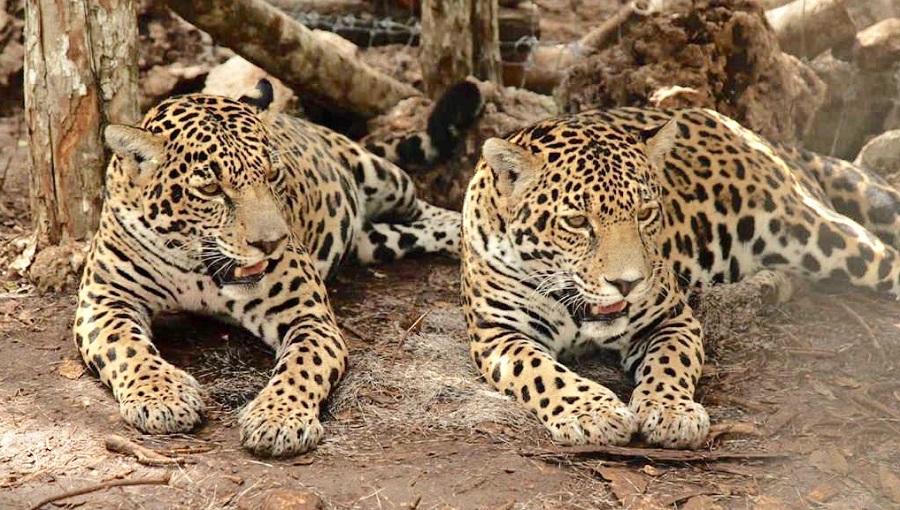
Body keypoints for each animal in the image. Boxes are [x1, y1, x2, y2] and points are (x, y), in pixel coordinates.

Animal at [74, 79, 481, 457]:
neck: (196, 269)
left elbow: (302, 364)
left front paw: (278, 418)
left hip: (386, 180)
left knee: (427, 209)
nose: (271, 243)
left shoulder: (307, 316)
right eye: (210, 189)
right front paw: (161, 396)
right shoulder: (105, 300)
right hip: (376, 242)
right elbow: (126, 347)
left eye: (272, 175)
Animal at [461, 107, 900, 449]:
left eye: (645, 213)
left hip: (827, 237)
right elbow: (541, 373)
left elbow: (669, 361)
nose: (628, 283)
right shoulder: (497, 332)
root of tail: (757, 136)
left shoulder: (670, 318)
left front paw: (670, 411)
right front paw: (593, 413)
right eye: (576, 221)